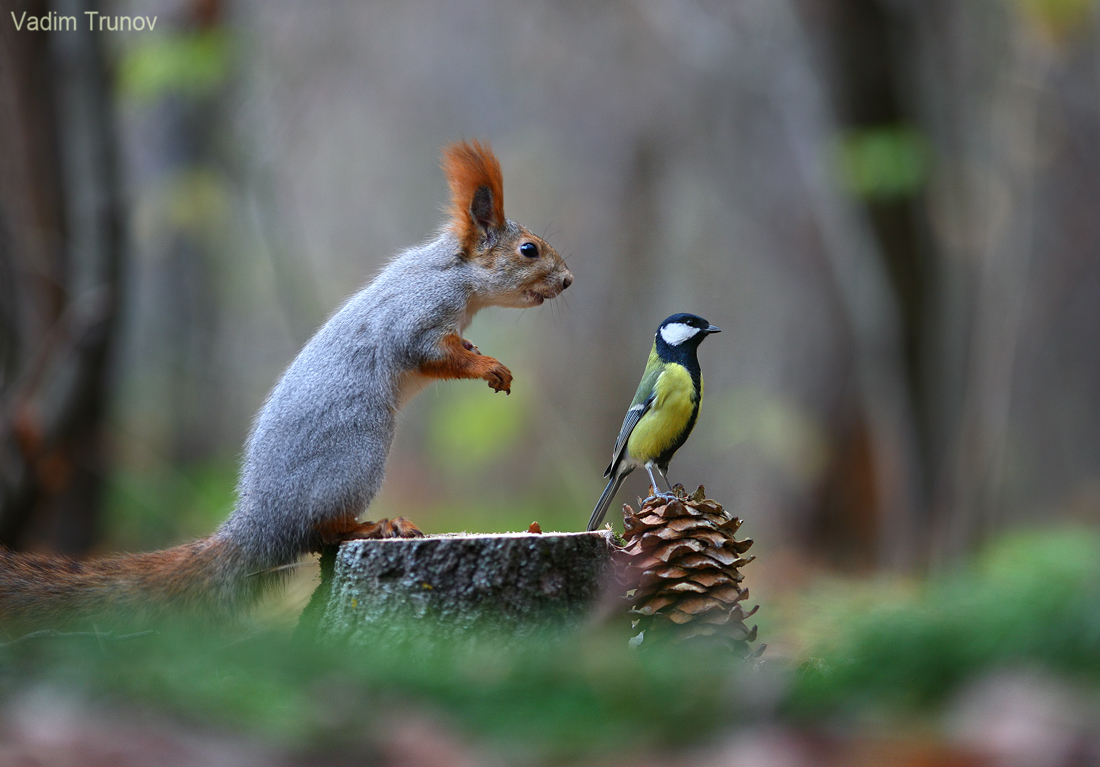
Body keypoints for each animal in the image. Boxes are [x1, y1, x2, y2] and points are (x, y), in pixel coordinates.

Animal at [2, 140, 576, 629]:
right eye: (529, 250)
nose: (569, 280)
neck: (457, 274)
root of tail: (259, 524)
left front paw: (483, 356)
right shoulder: (418, 317)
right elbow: (433, 353)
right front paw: (490, 367)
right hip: (357, 454)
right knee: (319, 532)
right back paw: (374, 526)